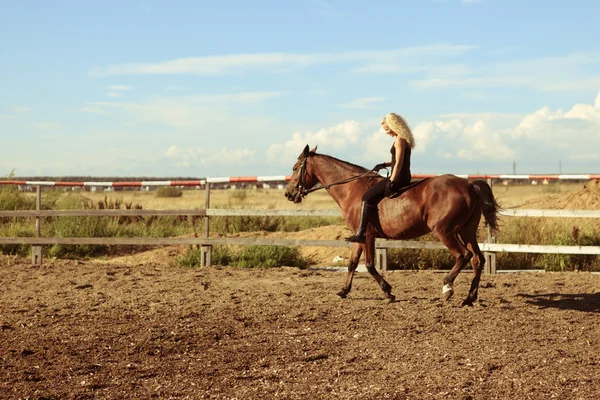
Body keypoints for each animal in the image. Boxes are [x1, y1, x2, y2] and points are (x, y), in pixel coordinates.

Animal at [284, 145, 500, 304]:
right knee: (478, 260)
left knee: (463, 255)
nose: (288, 194)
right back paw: (469, 298)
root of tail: (469, 184)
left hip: (445, 231)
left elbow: (369, 265)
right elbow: (352, 263)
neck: (352, 189)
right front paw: (343, 290)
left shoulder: (368, 235)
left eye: (295, 167)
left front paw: (388, 292)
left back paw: (447, 288)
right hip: (466, 231)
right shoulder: (358, 235)